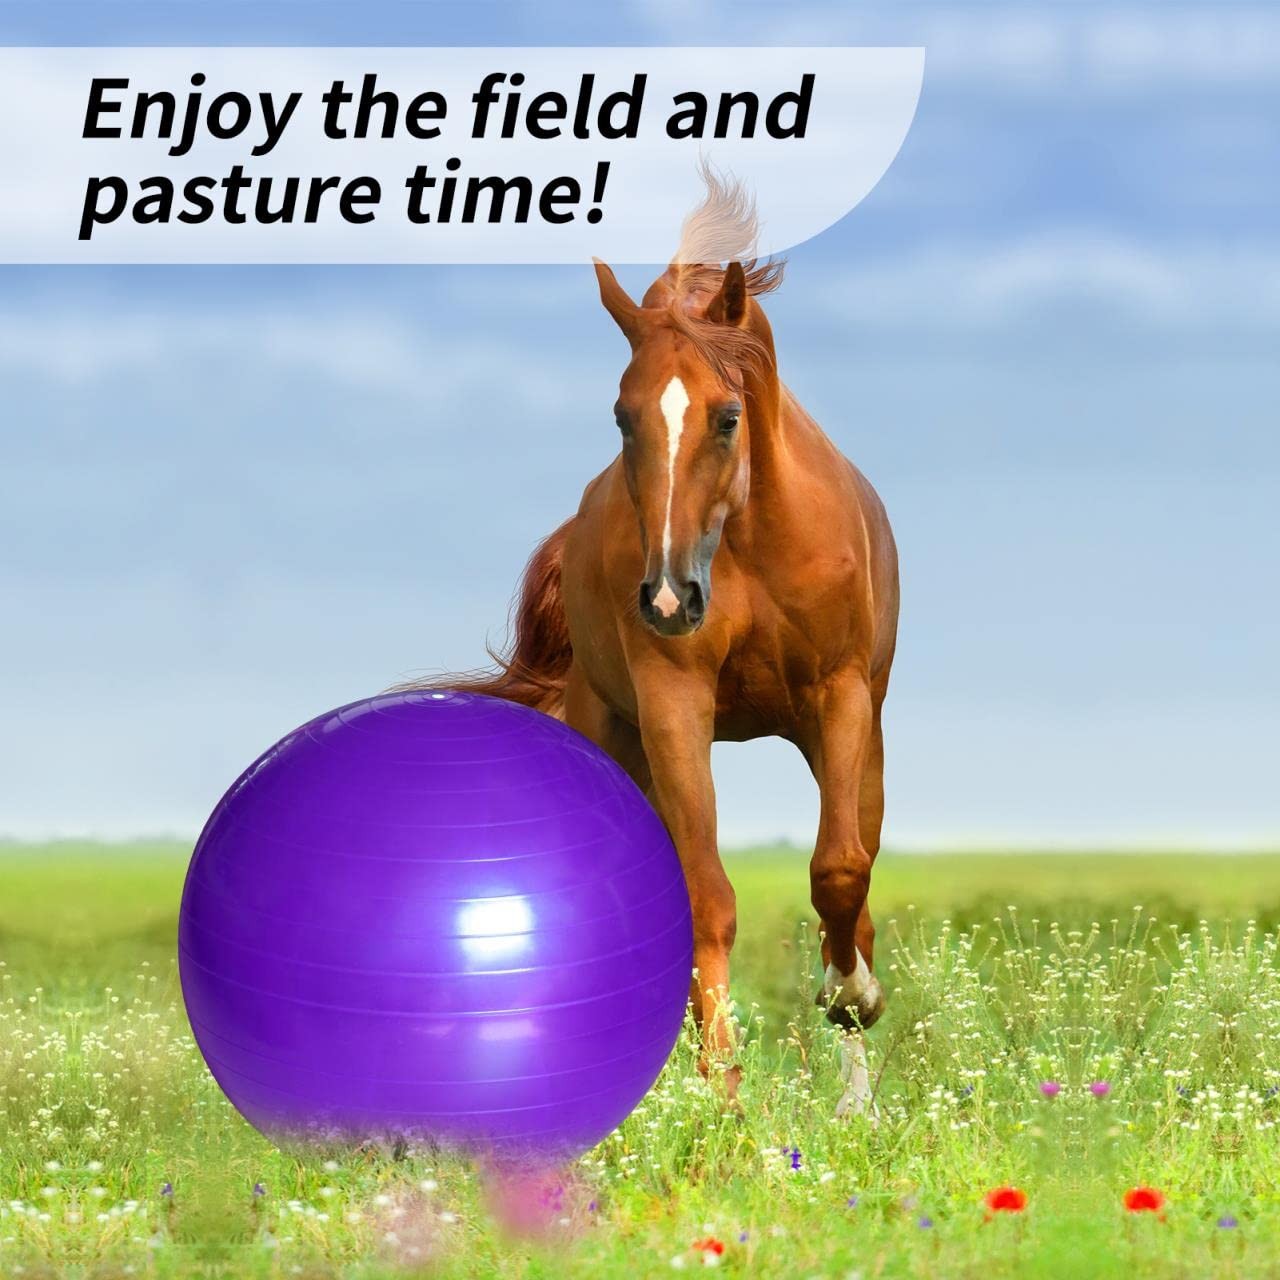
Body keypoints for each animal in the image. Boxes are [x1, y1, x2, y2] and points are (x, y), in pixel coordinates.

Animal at [415, 176, 899, 1114]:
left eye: (728, 416)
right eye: (621, 416)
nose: (671, 596)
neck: (749, 541)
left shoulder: (840, 698)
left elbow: (838, 871)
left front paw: (850, 1007)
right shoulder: (676, 703)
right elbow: (705, 897)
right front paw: (724, 1093)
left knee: (854, 873)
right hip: (617, 736)